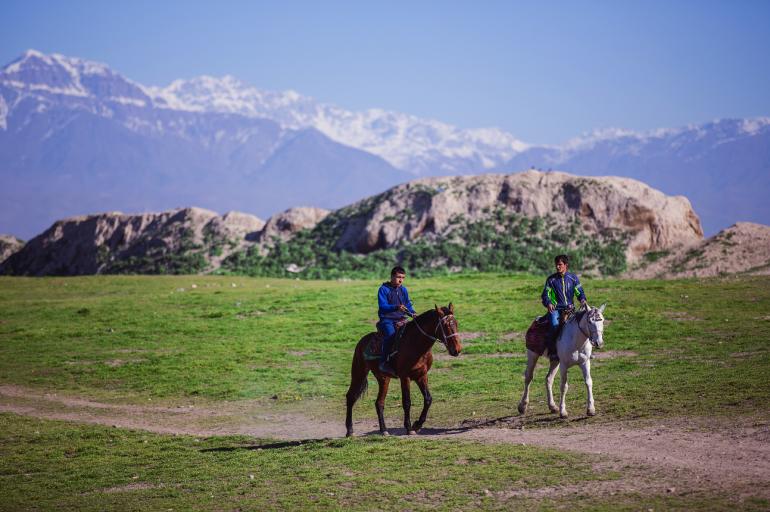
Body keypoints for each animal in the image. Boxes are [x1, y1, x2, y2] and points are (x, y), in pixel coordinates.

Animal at [344, 304, 460, 436]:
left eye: (456, 323)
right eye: (445, 326)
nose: (457, 350)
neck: (416, 344)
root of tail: (362, 341)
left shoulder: (422, 375)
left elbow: (428, 399)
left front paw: (417, 425)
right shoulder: (405, 377)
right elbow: (407, 402)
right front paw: (409, 428)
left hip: (383, 378)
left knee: (379, 403)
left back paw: (384, 430)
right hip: (359, 373)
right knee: (351, 397)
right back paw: (350, 431)